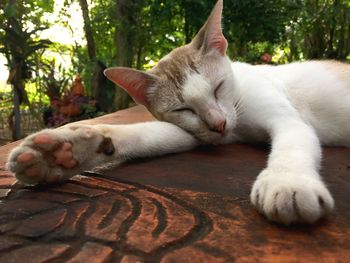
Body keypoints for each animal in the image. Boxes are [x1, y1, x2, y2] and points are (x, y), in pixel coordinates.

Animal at [6, 0, 350, 227]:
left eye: (218, 87)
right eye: (183, 109)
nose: (219, 124)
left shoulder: (286, 120)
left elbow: (291, 145)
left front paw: (289, 183)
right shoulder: (200, 132)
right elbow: (147, 135)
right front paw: (64, 152)